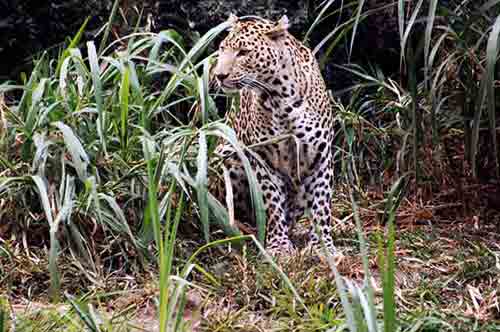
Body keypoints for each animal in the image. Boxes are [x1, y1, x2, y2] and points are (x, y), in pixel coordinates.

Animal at [211, 13, 336, 256]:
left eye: (243, 52)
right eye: (222, 49)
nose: (219, 75)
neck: (280, 97)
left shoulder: (320, 156)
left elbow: (321, 204)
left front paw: (324, 248)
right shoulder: (264, 159)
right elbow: (272, 202)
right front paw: (279, 246)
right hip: (227, 154)